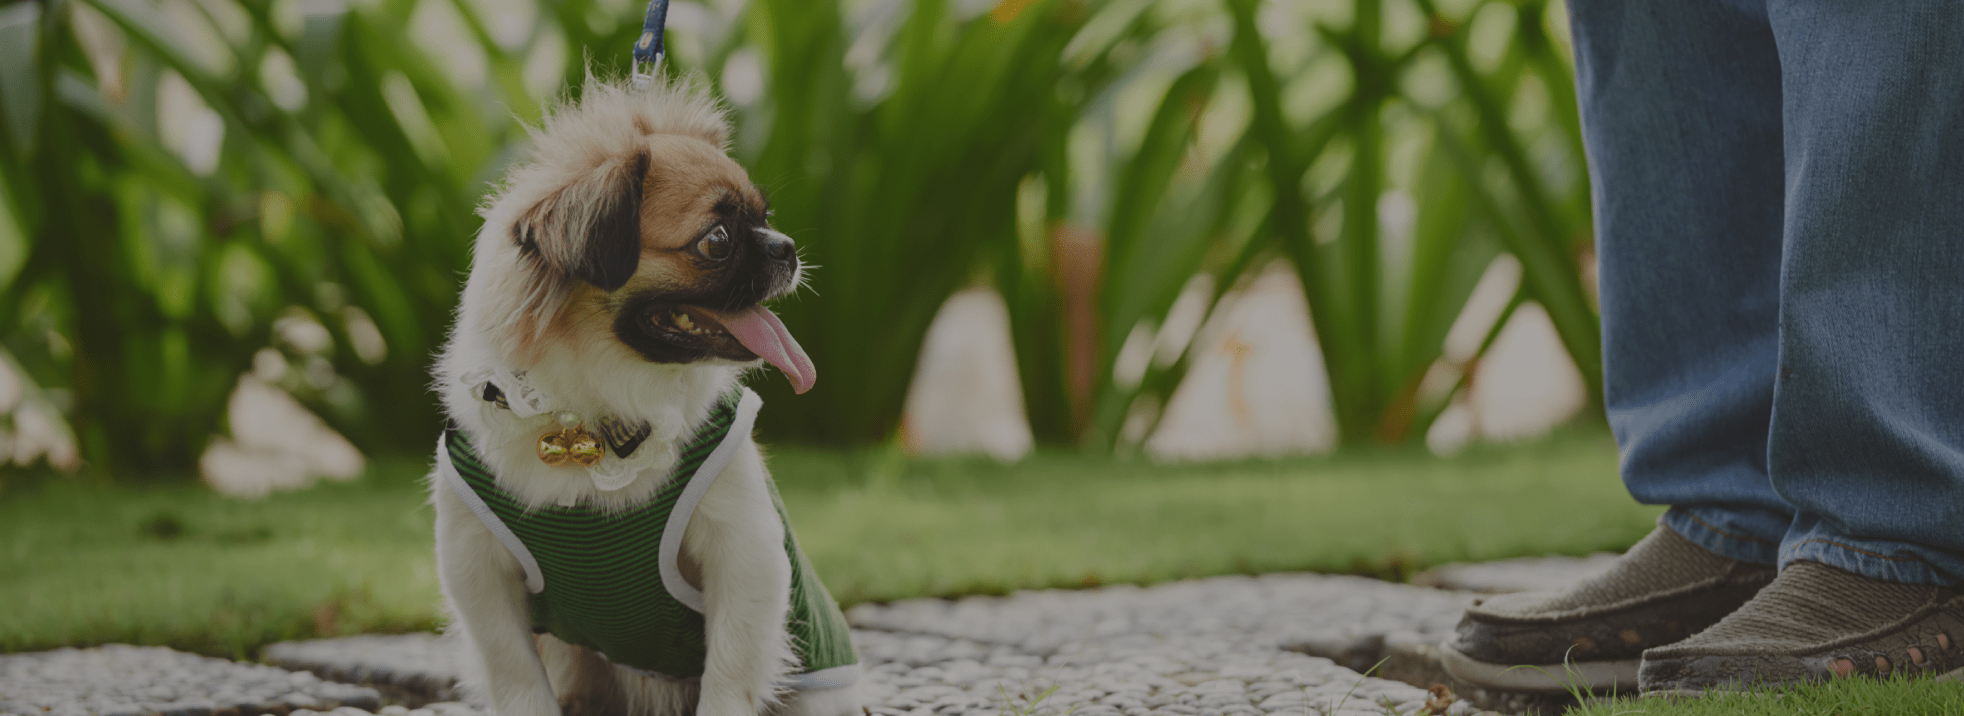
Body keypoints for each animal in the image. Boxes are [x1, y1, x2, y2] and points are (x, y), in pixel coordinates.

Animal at [429, 73, 860, 716]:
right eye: (718, 240)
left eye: (766, 217)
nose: (785, 246)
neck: (591, 420)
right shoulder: (477, 571)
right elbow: (515, 674)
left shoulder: (745, 558)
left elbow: (730, 673)